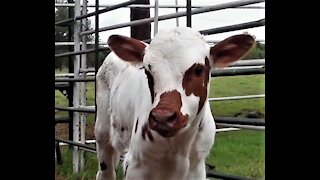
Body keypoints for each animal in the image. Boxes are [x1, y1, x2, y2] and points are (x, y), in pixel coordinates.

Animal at [94, 27, 254, 180]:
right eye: (147, 72)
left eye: (198, 69)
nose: (163, 117)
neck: (179, 146)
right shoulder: (135, 165)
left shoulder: (196, 167)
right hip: (102, 132)